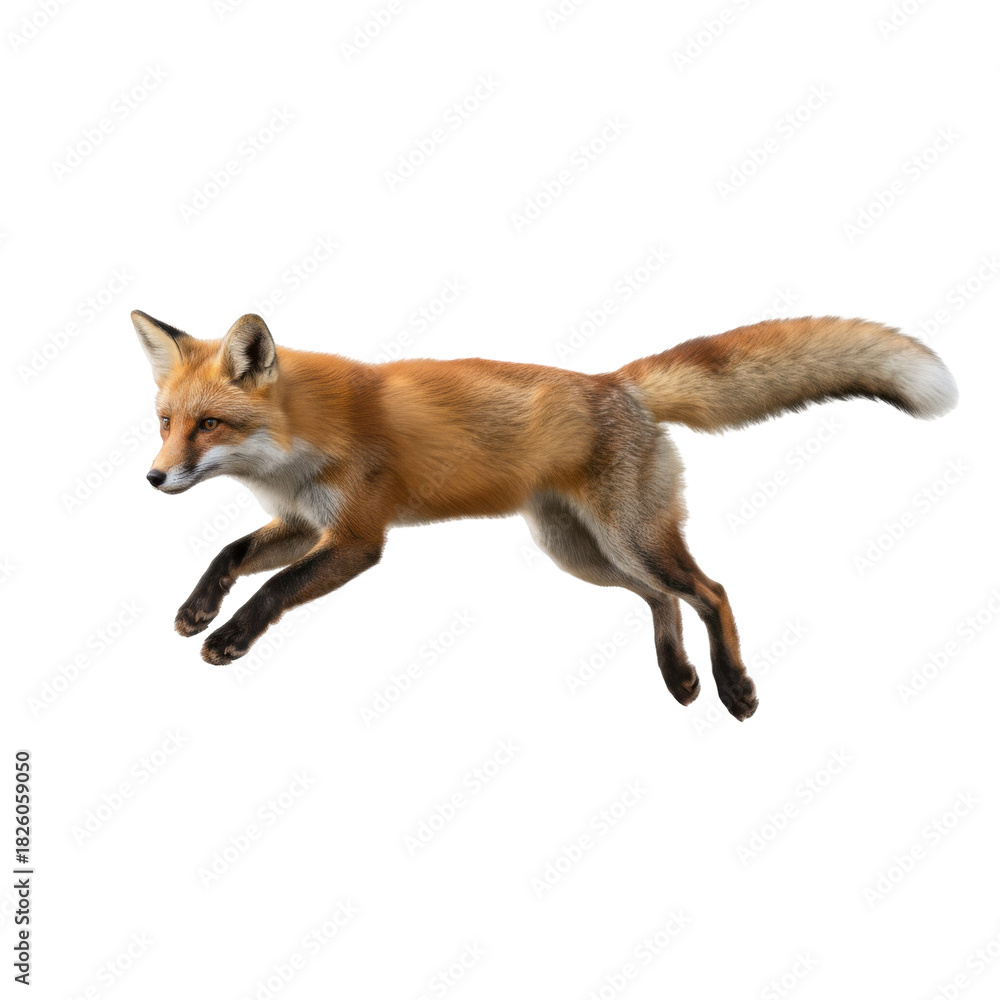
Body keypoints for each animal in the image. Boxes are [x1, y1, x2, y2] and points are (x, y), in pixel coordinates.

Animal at [133, 309, 957, 720]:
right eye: (165, 421)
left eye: (209, 425)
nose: (153, 477)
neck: (301, 439)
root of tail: (616, 382)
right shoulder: (307, 524)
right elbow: (229, 555)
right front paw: (197, 610)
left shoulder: (359, 537)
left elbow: (272, 587)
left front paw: (229, 638)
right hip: (584, 554)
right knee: (663, 600)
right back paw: (680, 678)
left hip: (631, 539)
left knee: (711, 591)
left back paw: (733, 688)